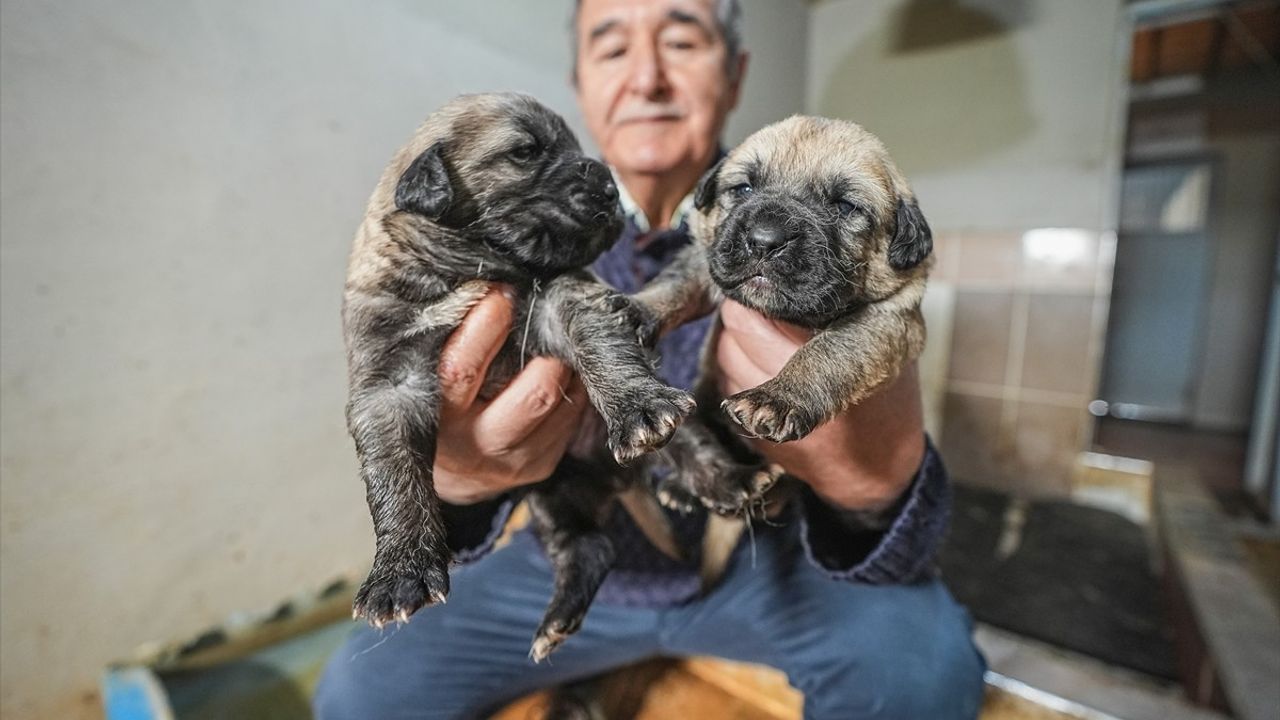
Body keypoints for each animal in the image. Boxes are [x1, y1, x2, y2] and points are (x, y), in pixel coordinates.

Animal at [343, 90, 691, 655]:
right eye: (526, 152)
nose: (607, 180)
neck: (467, 269)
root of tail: (621, 482)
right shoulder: (386, 381)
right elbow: (393, 474)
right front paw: (400, 569)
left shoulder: (562, 300)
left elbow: (601, 345)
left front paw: (636, 407)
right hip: (551, 491)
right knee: (589, 546)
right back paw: (557, 621)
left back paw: (726, 483)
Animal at [637, 114, 931, 566]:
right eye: (743, 188)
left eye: (845, 206)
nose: (764, 240)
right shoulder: (708, 259)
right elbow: (676, 283)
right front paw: (635, 308)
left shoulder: (887, 321)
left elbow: (830, 350)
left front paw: (777, 397)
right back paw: (686, 488)